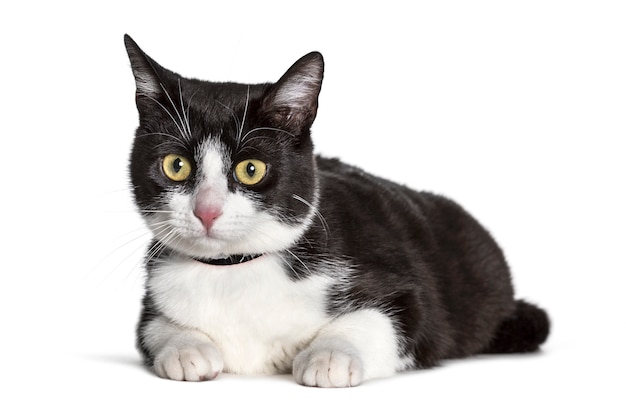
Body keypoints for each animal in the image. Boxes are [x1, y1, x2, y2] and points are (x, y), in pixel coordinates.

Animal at [124, 34, 548, 386]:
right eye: (176, 165)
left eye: (251, 169)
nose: (207, 211)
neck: (233, 270)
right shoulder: (153, 298)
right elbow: (152, 328)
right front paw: (186, 349)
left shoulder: (409, 293)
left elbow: (395, 317)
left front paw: (329, 357)